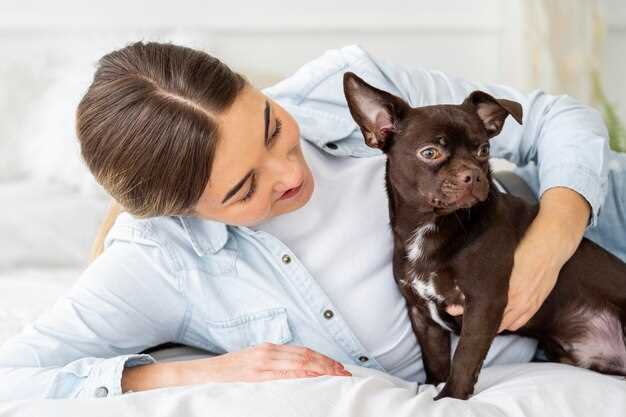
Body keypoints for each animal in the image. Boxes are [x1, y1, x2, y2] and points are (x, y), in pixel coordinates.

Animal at [342, 71, 624, 400]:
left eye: (484, 151)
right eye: (430, 153)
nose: (474, 175)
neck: (431, 227)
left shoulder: (484, 303)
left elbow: (465, 356)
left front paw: (451, 398)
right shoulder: (423, 316)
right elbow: (435, 358)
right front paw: (434, 386)